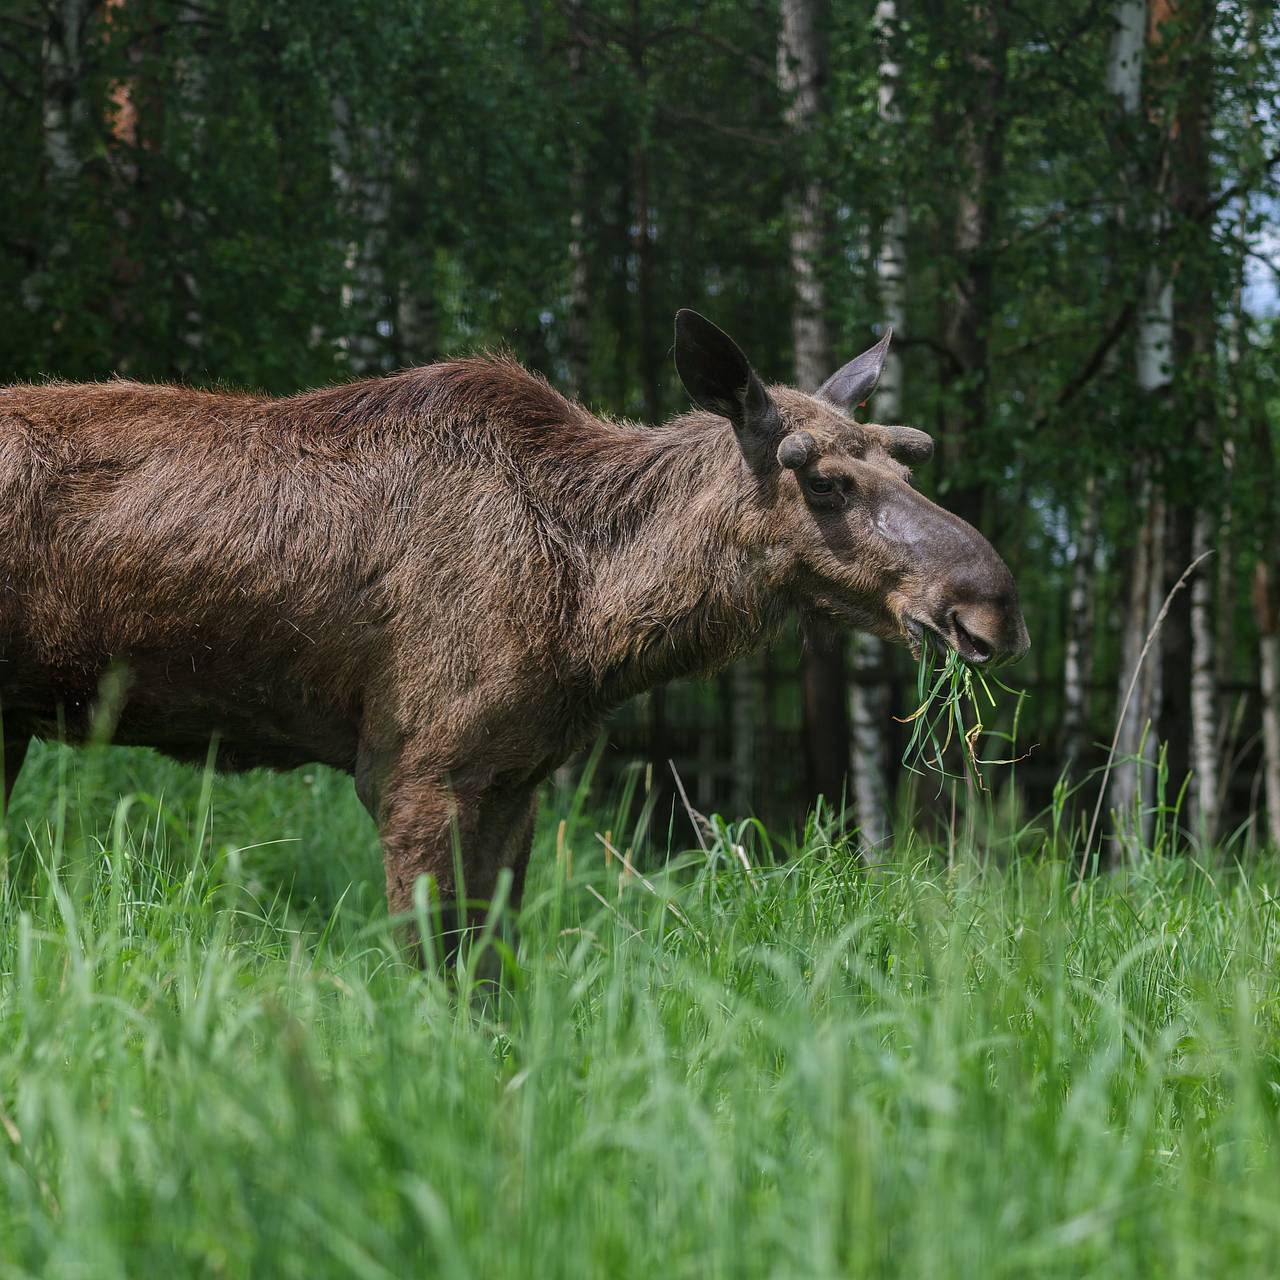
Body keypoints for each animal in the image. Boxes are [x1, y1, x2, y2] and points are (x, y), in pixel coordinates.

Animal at [0, 310, 1027, 949]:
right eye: (821, 480)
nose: (992, 606)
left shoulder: (516, 778)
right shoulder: (414, 768)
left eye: (907, 461)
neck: (591, 618)